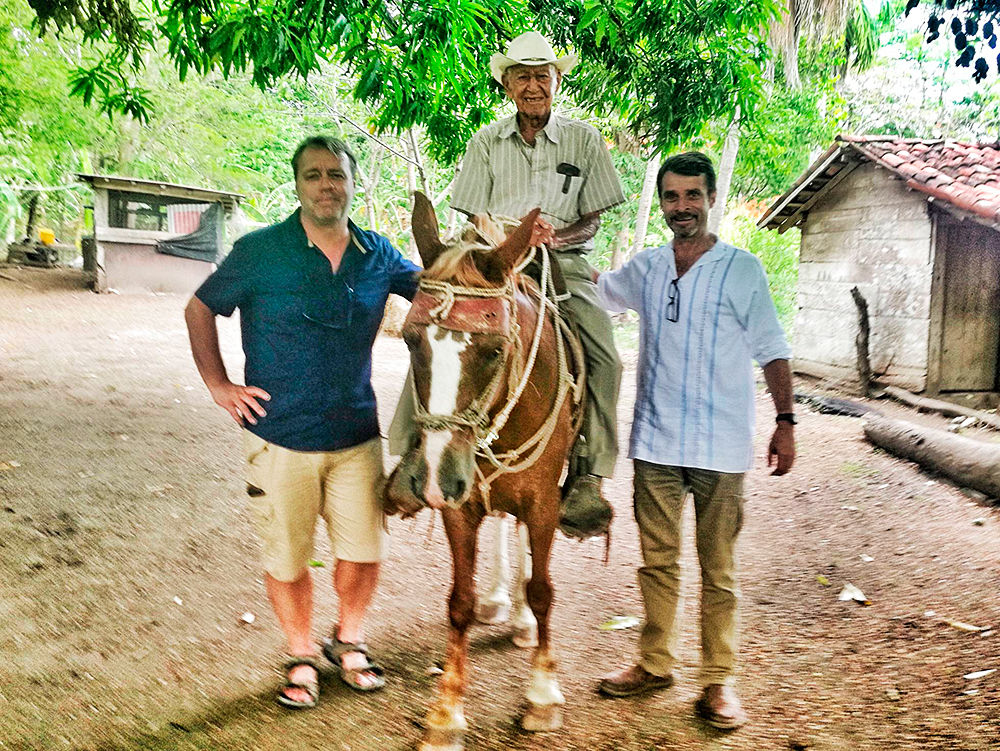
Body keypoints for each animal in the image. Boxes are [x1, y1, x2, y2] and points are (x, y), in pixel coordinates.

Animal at [386, 191, 584, 748]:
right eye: (410, 339)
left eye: (494, 350)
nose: (433, 477)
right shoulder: (461, 503)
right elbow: (460, 601)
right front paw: (445, 713)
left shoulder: (544, 501)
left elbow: (543, 590)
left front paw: (542, 695)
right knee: (502, 528)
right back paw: (502, 602)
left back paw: (520, 618)